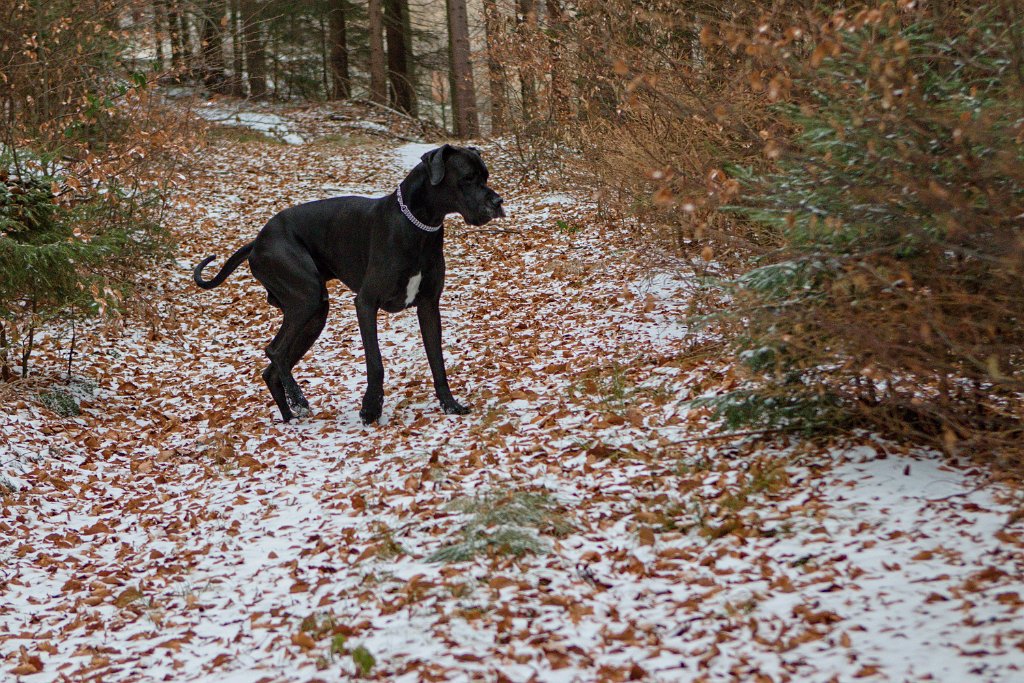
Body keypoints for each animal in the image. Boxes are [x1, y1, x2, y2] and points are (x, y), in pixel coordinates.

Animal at [191, 144, 503, 421]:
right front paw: (371, 409)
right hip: (307, 298)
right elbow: (375, 363)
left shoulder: (428, 305)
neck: (417, 225)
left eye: (486, 176)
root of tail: (257, 241)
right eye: (467, 178)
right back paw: (299, 401)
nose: (498, 202)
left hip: (314, 315)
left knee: (272, 368)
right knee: (274, 352)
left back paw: (290, 415)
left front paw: (450, 405)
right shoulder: (365, 304)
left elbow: (437, 360)